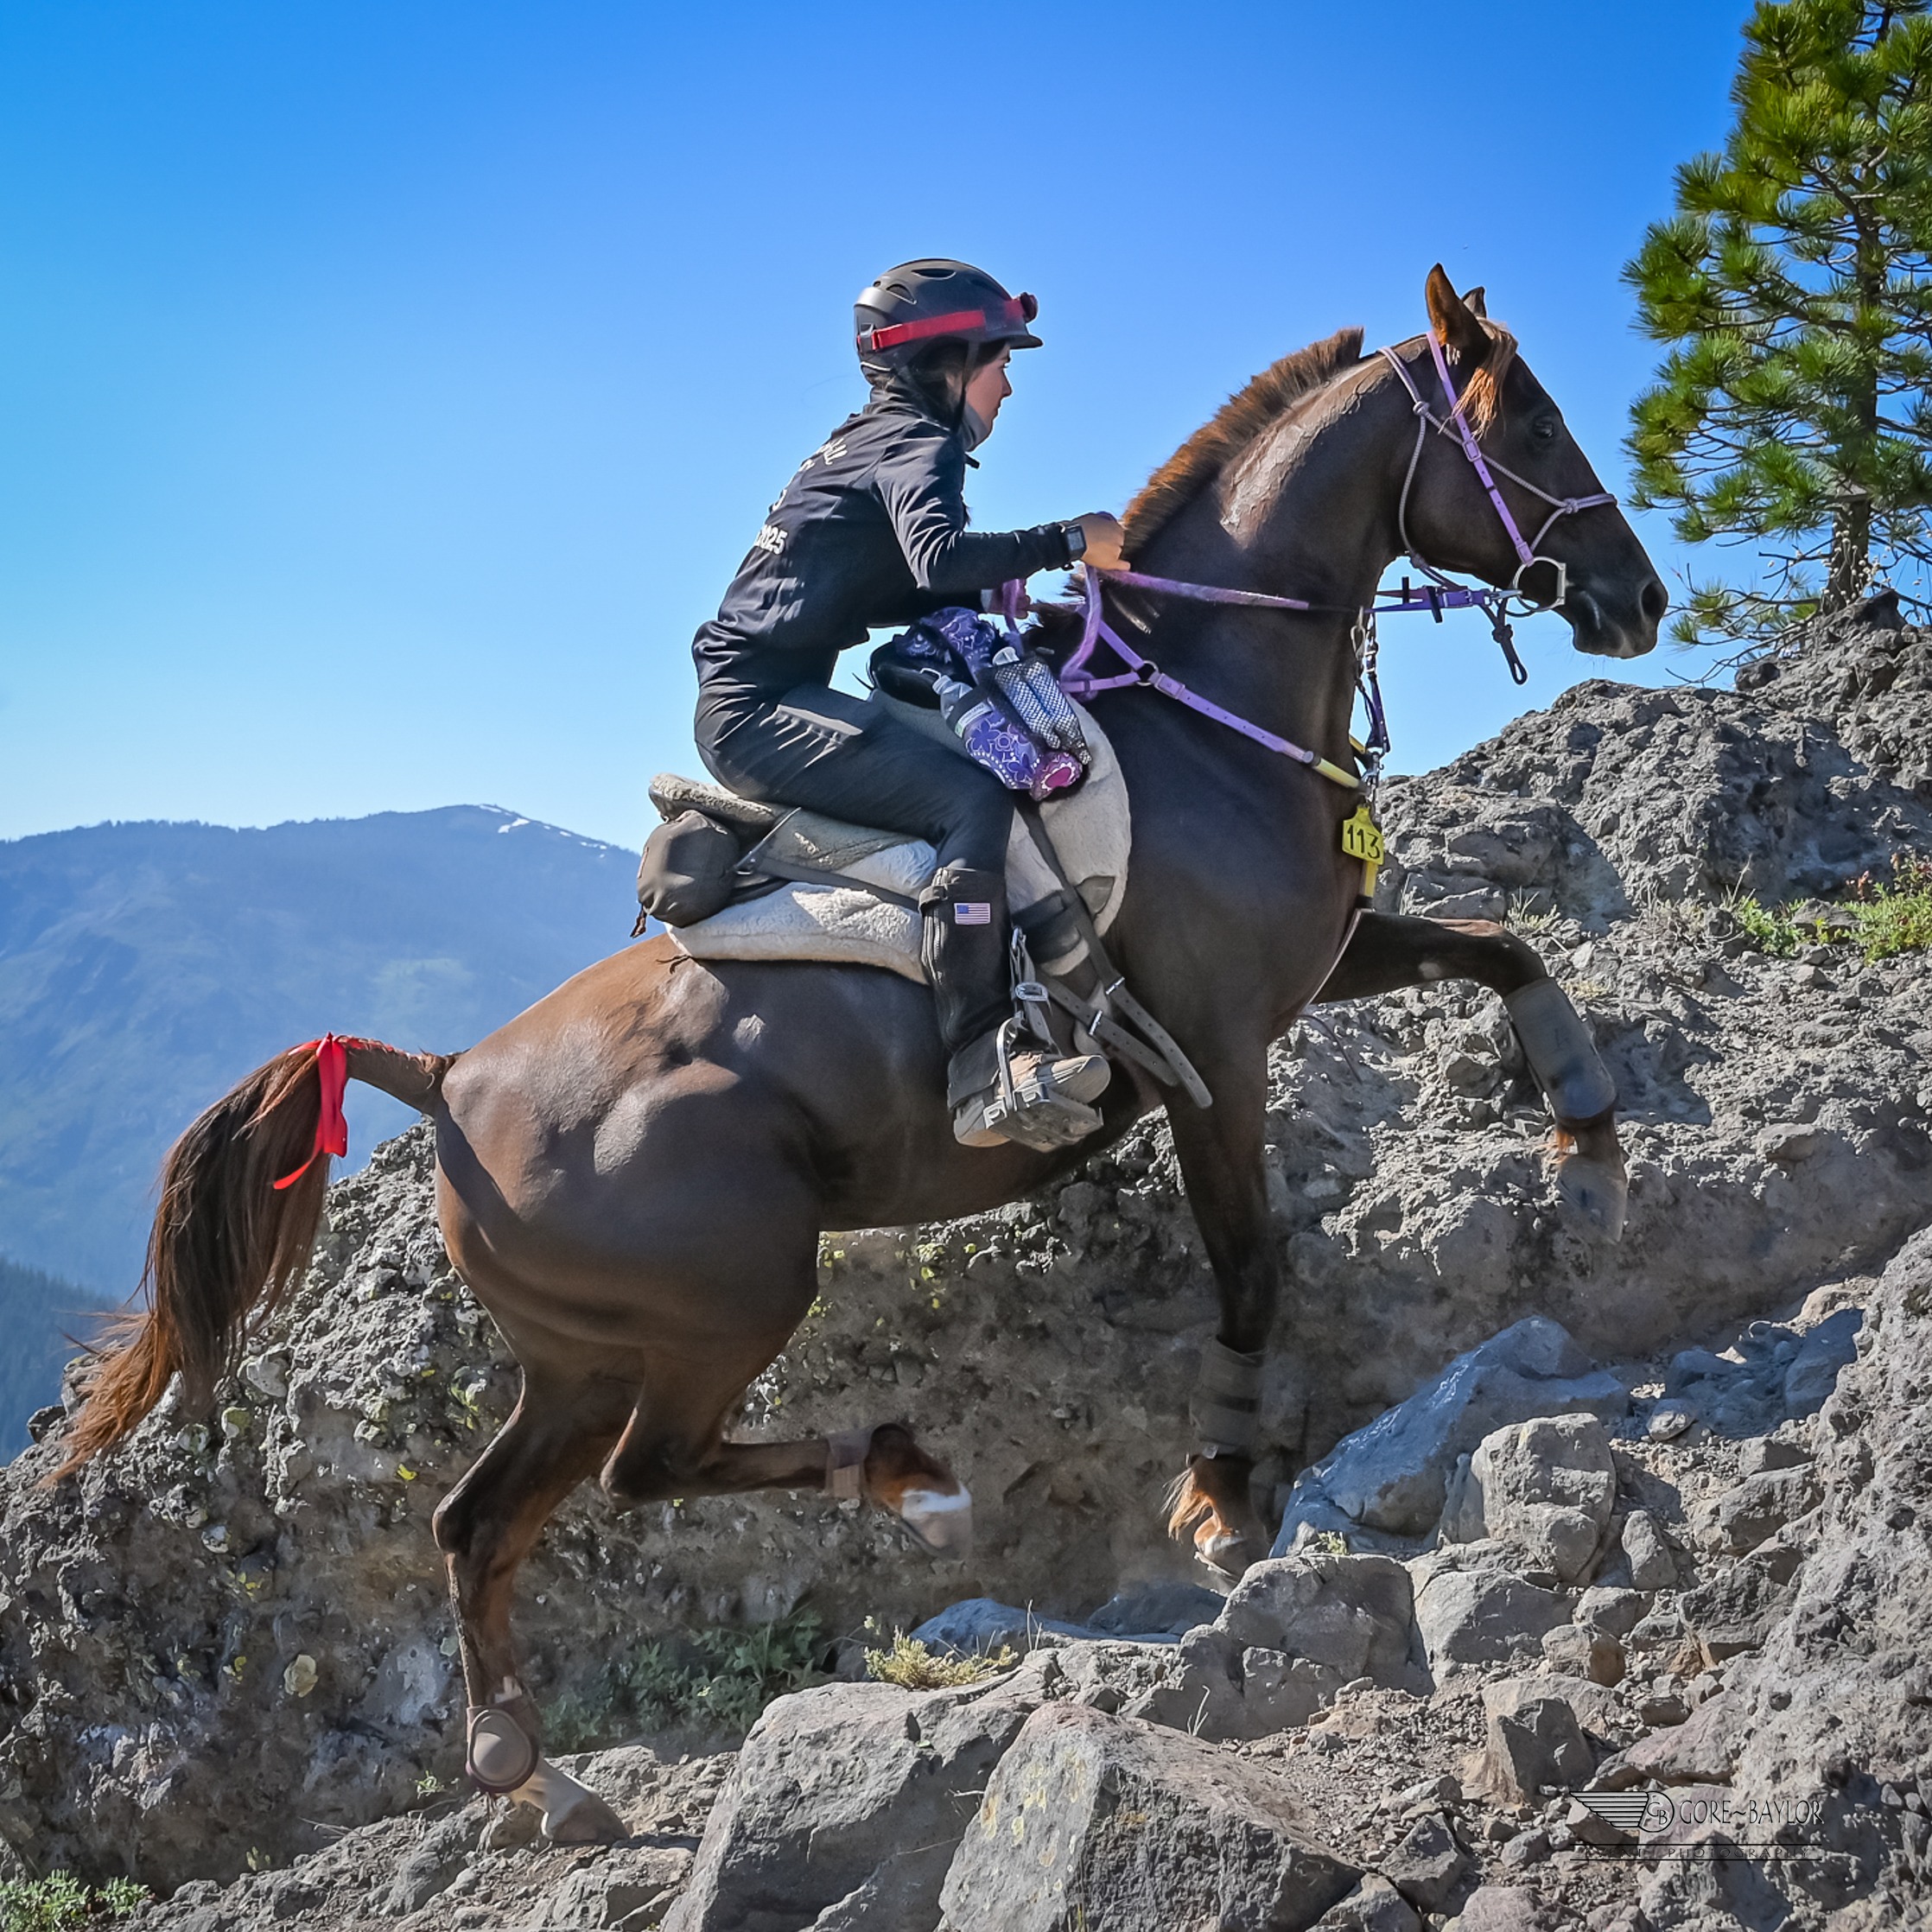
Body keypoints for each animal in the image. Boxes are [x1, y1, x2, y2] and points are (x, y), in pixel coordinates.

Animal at [58, 267, 1662, 1840]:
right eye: (1528, 427)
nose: (1639, 597)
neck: (1207, 715)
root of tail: (449, 1078)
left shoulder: (1317, 969)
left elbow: (1500, 949)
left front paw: (1589, 1141)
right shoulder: (1215, 1051)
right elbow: (1250, 1264)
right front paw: (1220, 1491)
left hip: (577, 1355)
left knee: (481, 1520)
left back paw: (534, 1764)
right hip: (732, 1295)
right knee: (646, 1469)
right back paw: (906, 1477)